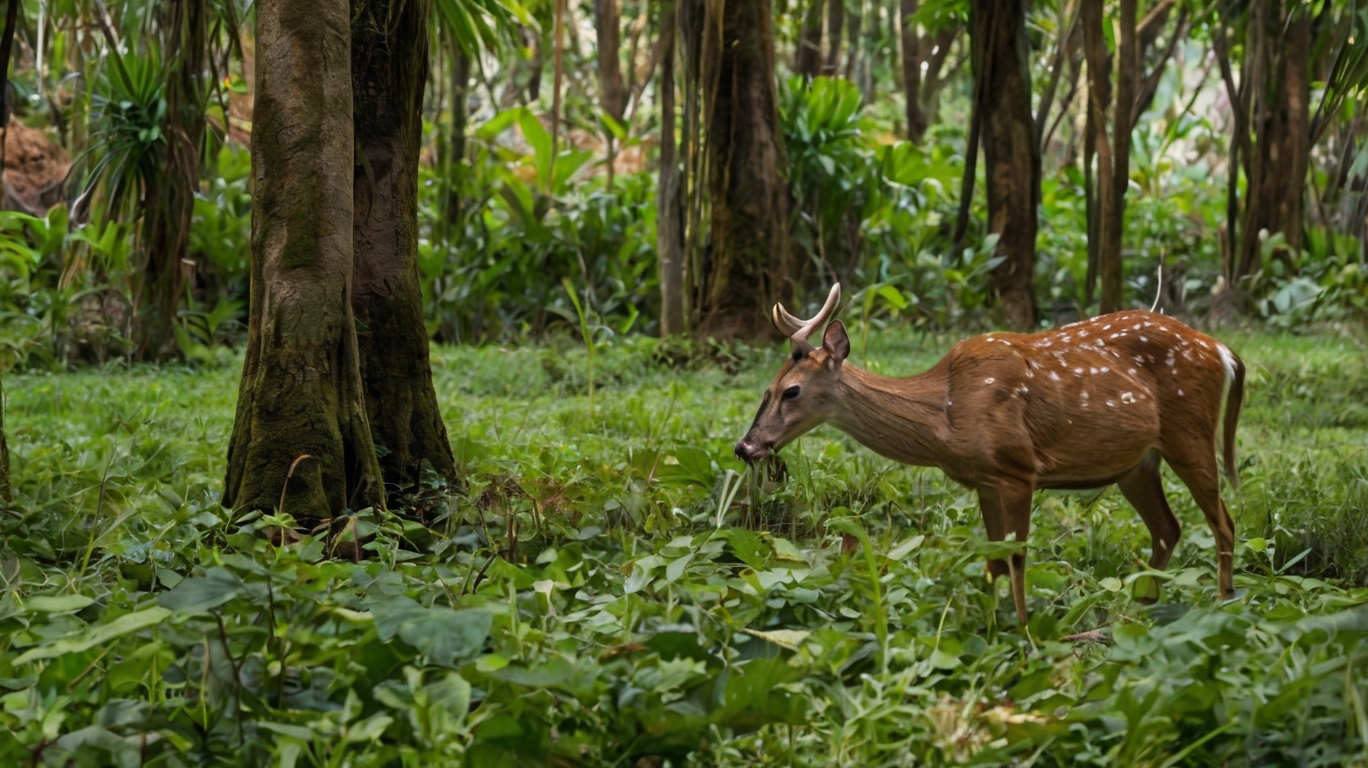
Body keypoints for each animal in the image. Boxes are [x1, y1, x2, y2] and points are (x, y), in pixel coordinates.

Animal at [733, 284, 1247, 626]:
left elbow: (1017, 557)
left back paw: (1224, 602)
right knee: (1168, 528)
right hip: (1137, 464)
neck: (947, 416)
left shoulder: (1019, 468)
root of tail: (1225, 352)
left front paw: (1024, 633)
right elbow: (995, 558)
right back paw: (1139, 608)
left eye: (792, 391)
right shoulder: (984, 478)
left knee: (1223, 521)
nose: (745, 446)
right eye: (766, 388)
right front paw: (996, 628)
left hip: (1190, 433)